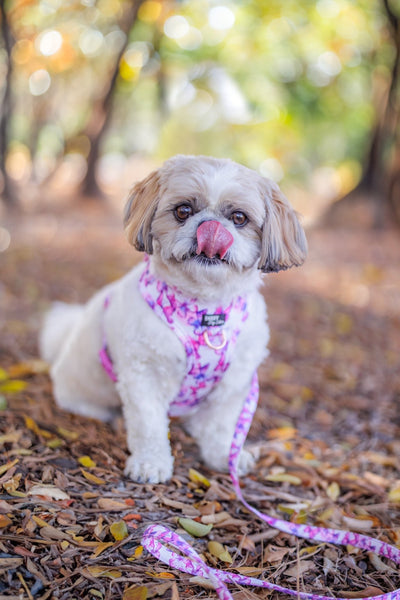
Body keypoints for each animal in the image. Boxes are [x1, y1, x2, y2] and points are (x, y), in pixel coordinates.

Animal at [39, 155, 306, 482]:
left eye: (239, 218)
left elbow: (220, 426)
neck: (204, 311)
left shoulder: (234, 383)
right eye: (183, 211)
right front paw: (150, 463)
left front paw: (223, 457)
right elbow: (148, 424)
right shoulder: (144, 376)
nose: (210, 228)